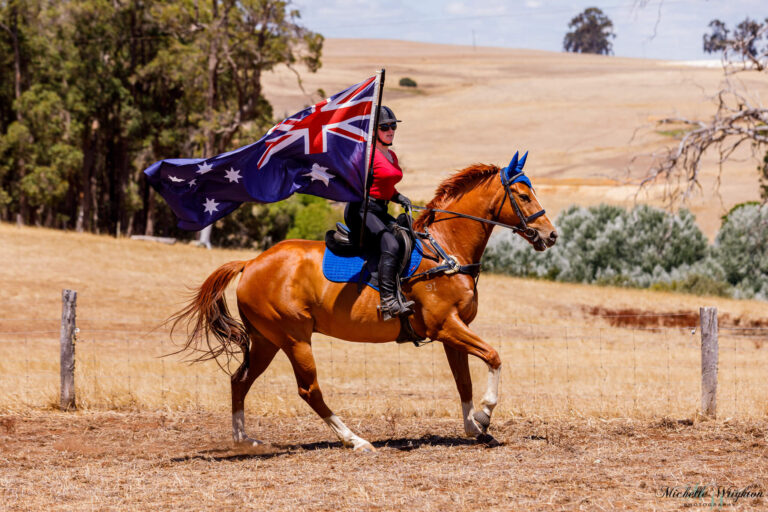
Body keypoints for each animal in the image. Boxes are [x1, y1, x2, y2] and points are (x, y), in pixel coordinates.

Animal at [172, 154, 560, 450]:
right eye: (523, 195)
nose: (551, 235)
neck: (446, 249)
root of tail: (251, 262)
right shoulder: (446, 326)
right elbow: (494, 357)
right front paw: (484, 414)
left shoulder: (453, 332)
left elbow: (463, 381)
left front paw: (474, 428)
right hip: (295, 338)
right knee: (309, 389)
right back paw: (354, 440)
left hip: (267, 339)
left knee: (240, 380)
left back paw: (243, 439)